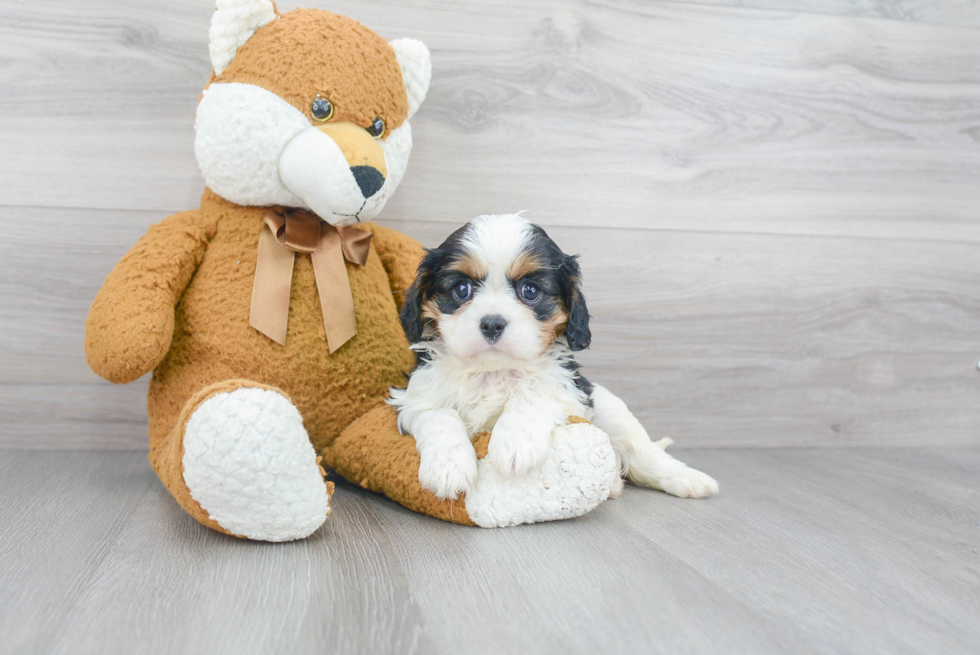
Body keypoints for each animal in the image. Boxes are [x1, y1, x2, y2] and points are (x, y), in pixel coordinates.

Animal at [390, 215, 720, 502]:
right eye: (461, 289)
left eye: (530, 291)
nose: (492, 323)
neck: (493, 372)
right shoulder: (414, 399)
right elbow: (439, 415)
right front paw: (449, 467)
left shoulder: (570, 389)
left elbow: (533, 393)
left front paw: (515, 443)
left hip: (609, 408)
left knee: (642, 452)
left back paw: (686, 479)